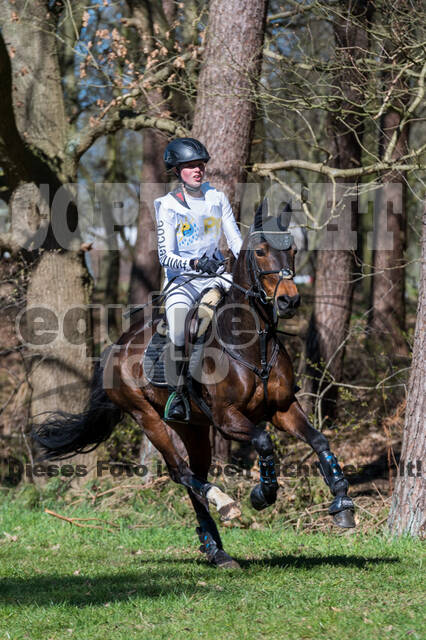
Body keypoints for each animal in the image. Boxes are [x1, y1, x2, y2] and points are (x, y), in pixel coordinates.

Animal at [33, 200, 354, 568]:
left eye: (294, 250)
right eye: (260, 251)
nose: (289, 301)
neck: (251, 343)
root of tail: (116, 346)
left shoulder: (283, 408)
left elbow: (319, 440)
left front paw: (342, 503)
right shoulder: (227, 419)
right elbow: (263, 441)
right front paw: (263, 493)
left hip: (192, 428)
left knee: (193, 476)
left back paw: (216, 548)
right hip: (147, 417)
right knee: (181, 472)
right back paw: (225, 504)